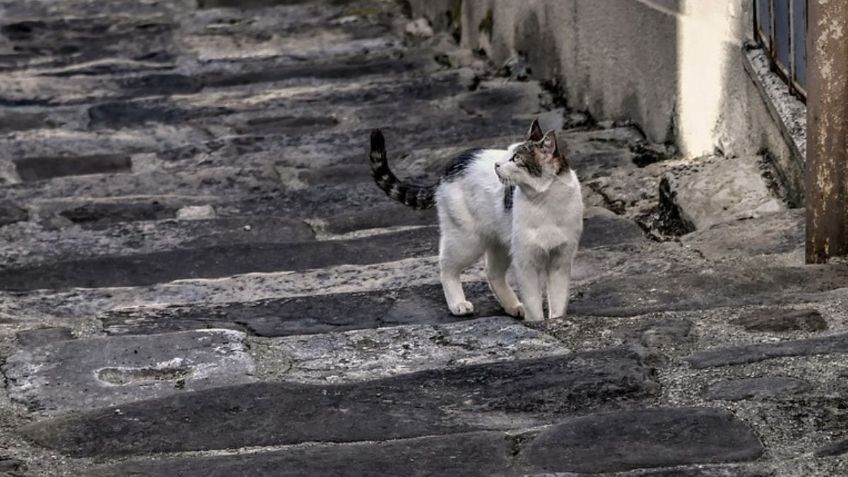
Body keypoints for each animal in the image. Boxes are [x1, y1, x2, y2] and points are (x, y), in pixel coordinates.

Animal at [372, 119, 584, 322]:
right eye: (508, 154)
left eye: (516, 158)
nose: (496, 165)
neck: (546, 203)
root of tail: (451, 164)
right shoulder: (526, 261)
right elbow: (533, 301)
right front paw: (537, 322)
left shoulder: (561, 261)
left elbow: (558, 300)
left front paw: (556, 319)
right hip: (467, 240)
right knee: (446, 265)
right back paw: (457, 303)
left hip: (500, 241)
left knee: (492, 272)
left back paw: (513, 306)